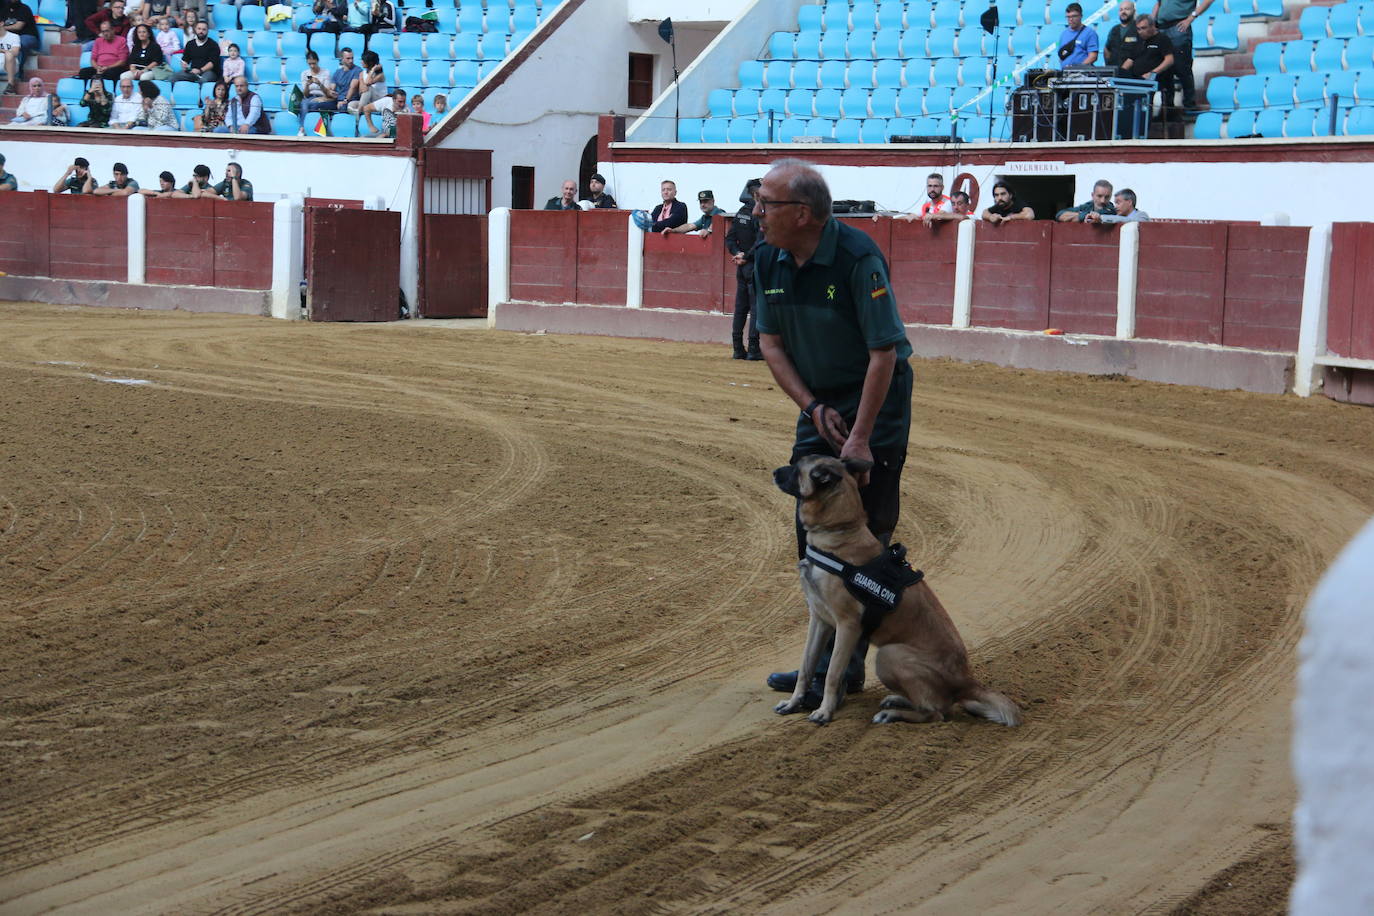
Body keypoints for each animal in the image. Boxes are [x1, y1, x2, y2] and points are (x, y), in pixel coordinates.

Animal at [774, 455, 1022, 725]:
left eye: (796, 468)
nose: (774, 472)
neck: (839, 530)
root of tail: (966, 681)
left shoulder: (847, 626)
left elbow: (832, 673)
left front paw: (824, 711)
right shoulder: (819, 619)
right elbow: (806, 667)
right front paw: (793, 703)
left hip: (889, 655)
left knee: (936, 713)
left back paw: (892, 713)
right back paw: (897, 700)